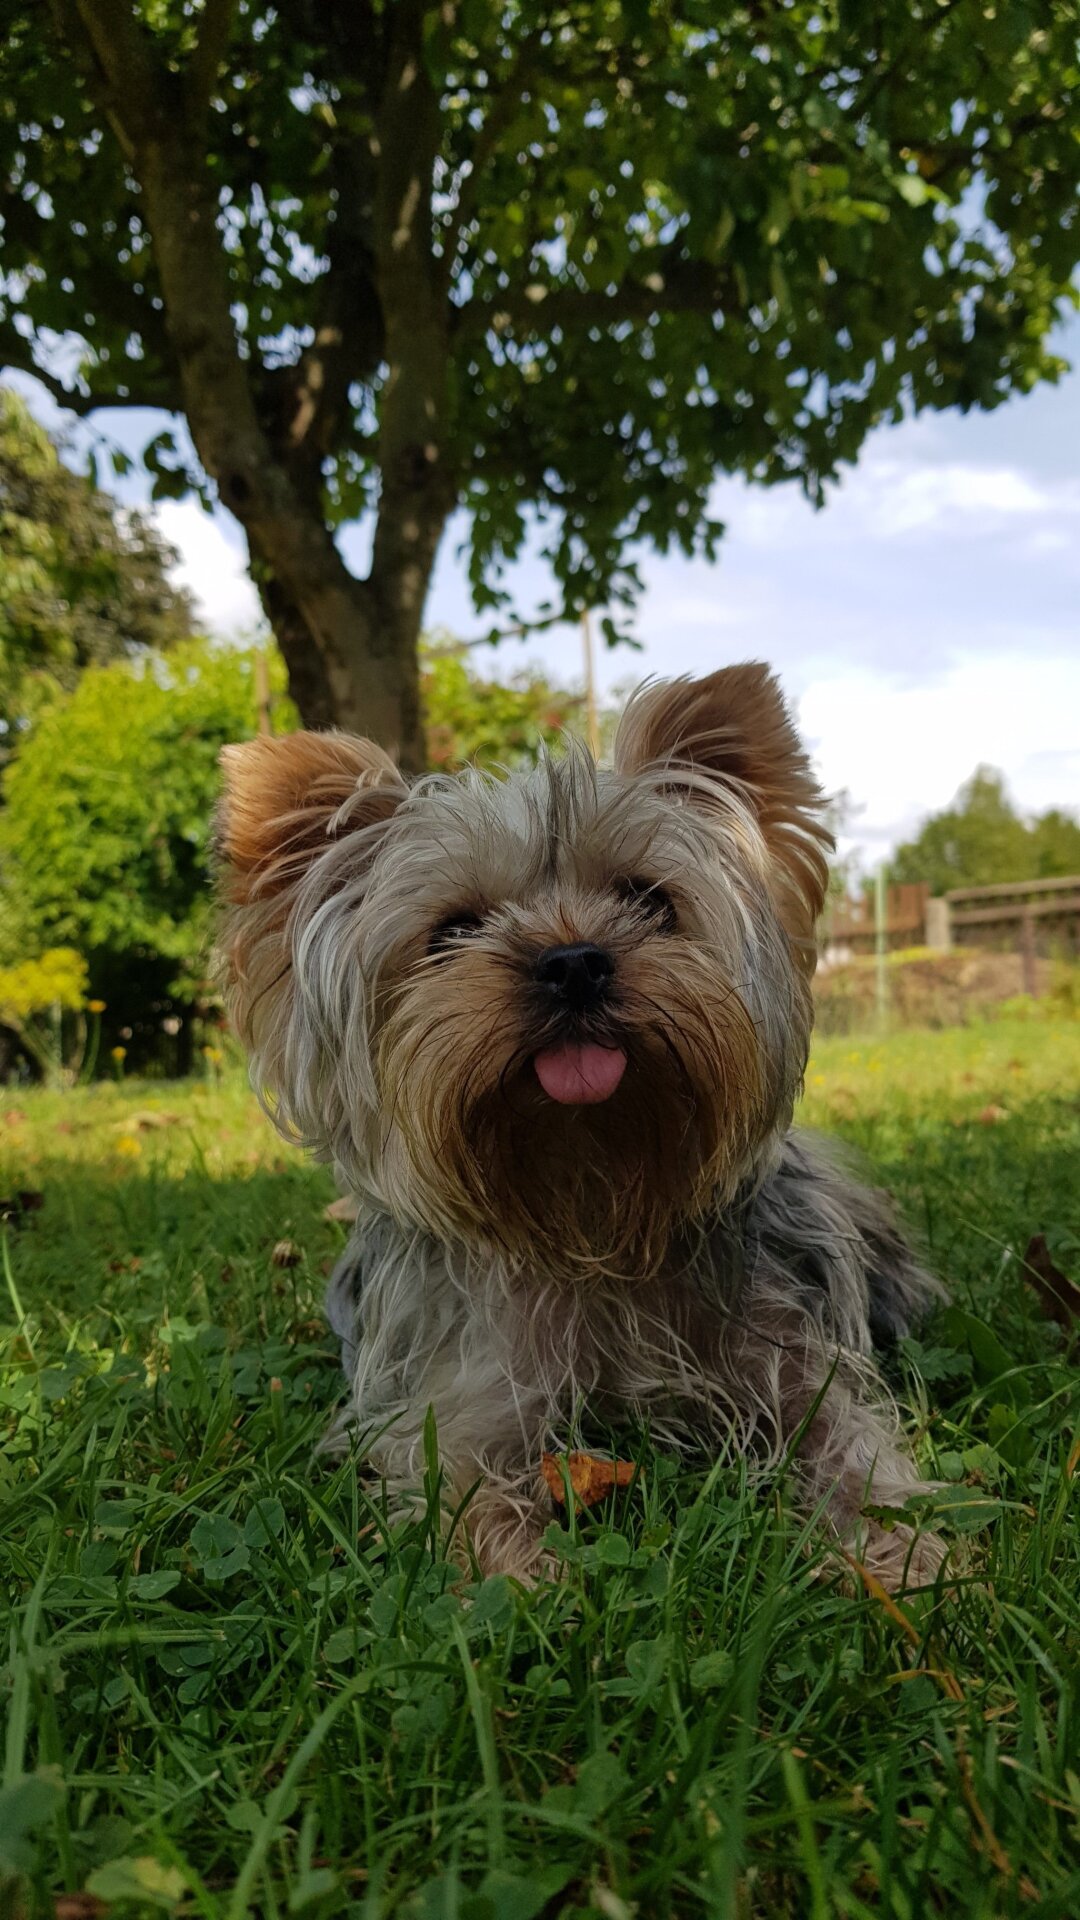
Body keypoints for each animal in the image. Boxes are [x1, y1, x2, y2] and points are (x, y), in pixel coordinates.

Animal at [219, 664, 941, 1589]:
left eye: (650, 901)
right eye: (452, 930)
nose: (572, 962)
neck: (591, 1200)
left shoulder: (788, 1361)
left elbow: (843, 1438)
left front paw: (889, 1553)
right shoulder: (470, 1397)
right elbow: (458, 1487)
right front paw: (528, 1583)